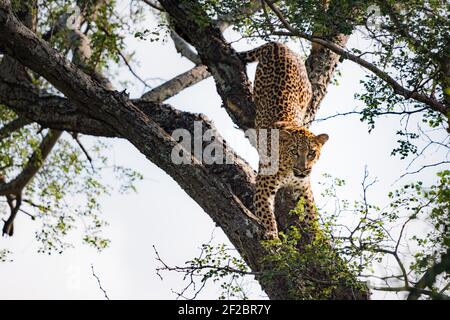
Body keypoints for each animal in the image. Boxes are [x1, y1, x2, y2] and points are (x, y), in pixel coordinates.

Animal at [239, 42, 330, 238]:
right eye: (294, 151)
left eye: (311, 153)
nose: (303, 169)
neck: (289, 171)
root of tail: (278, 45)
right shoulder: (263, 188)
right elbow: (266, 214)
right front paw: (272, 236)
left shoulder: (305, 189)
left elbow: (312, 217)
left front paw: (320, 240)